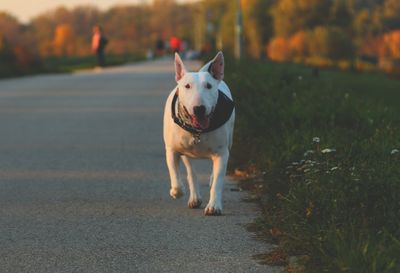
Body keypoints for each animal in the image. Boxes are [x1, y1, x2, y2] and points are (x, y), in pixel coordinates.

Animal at [164, 52, 236, 216]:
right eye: (187, 86)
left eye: (209, 86)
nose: (199, 108)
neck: (197, 131)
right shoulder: (172, 150)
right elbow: (175, 174)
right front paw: (177, 191)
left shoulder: (222, 153)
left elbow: (218, 181)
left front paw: (214, 206)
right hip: (186, 155)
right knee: (191, 172)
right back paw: (194, 198)